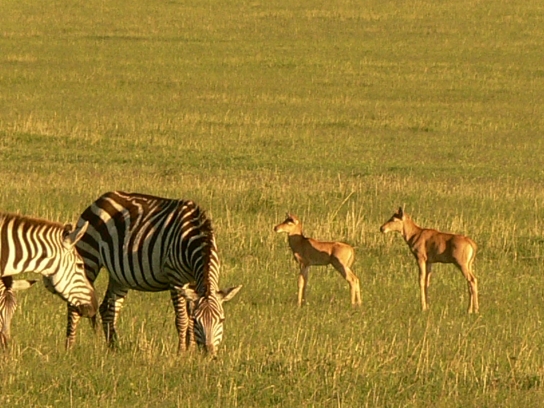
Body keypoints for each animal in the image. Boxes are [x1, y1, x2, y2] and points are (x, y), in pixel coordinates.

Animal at [64, 191, 242, 355]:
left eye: (222, 320)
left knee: (108, 308)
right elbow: (183, 319)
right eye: (199, 321)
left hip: (119, 275)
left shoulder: (191, 282)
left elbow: (189, 315)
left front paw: (190, 351)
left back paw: (114, 349)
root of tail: (102, 198)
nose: (209, 354)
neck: (193, 238)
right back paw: (70, 348)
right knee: (74, 304)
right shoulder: (175, 278)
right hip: (89, 256)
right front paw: (181, 353)